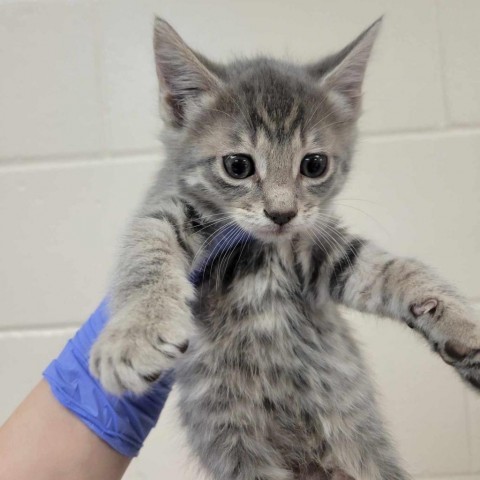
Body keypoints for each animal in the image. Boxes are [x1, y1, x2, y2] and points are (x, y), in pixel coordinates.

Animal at [90, 16, 480, 480]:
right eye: (237, 166)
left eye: (314, 164)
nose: (282, 213)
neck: (265, 253)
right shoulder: (166, 211)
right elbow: (146, 252)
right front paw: (135, 335)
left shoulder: (321, 249)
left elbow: (390, 268)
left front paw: (461, 323)